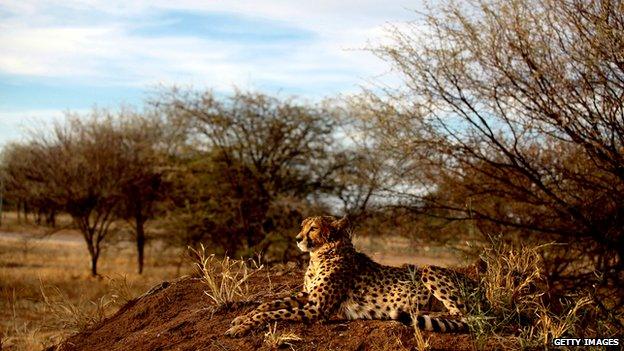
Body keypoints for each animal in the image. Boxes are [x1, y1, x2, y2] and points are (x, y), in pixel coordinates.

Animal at [227, 216, 476, 336]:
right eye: (302, 226)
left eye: (313, 228)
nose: (297, 239)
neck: (320, 255)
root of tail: (476, 283)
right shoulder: (308, 296)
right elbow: (270, 304)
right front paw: (242, 318)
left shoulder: (318, 308)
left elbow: (274, 313)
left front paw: (240, 327)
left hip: (427, 269)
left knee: (464, 316)